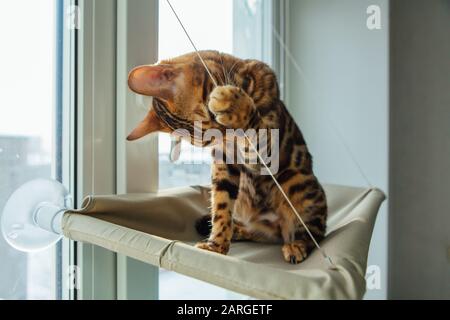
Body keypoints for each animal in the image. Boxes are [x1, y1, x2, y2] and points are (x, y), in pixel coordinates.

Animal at [126, 50, 326, 264]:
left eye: (213, 114)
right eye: (209, 141)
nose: (230, 136)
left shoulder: (267, 152)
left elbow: (254, 128)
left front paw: (236, 105)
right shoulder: (224, 162)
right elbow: (221, 203)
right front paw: (216, 245)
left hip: (298, 181)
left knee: (314, 234)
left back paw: (296, 245)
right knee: (259, 232)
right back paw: (236, 230)